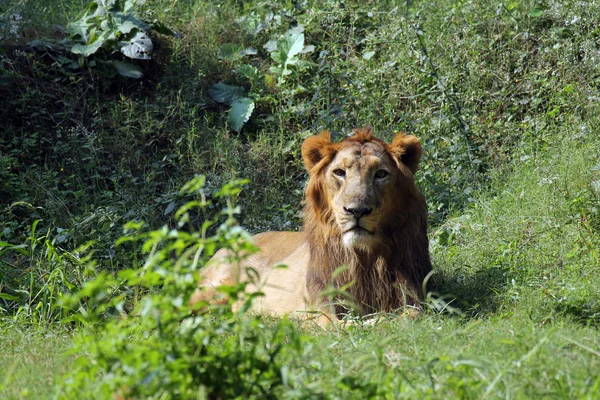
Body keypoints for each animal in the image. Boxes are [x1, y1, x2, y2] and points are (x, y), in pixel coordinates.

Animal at [192, 126, 432, 324]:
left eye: (380, 174)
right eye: (339, 172)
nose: (356, 210)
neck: (365, 257)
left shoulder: (412, 295)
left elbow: (411, 315)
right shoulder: (318, 306)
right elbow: (339, 326)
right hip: (211, 290)